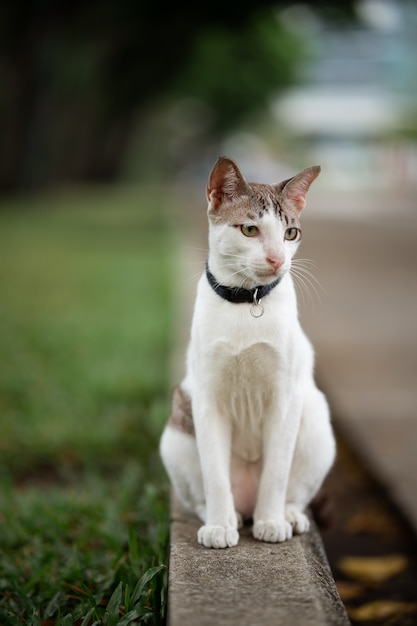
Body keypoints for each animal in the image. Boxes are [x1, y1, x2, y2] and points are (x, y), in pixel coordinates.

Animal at [159, 156, 334, 544]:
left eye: (290, 234)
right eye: (250, 230)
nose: (277, 260)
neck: (247, 301)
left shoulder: (285, 397)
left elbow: (277, 473)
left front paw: (271, 521)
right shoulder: (206, 399)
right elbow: (214, 473)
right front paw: (219, 526)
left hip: (316, 422)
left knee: (294, 490)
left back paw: (287, 515)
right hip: (176, 432)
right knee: (201, 493)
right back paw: (228, 516)